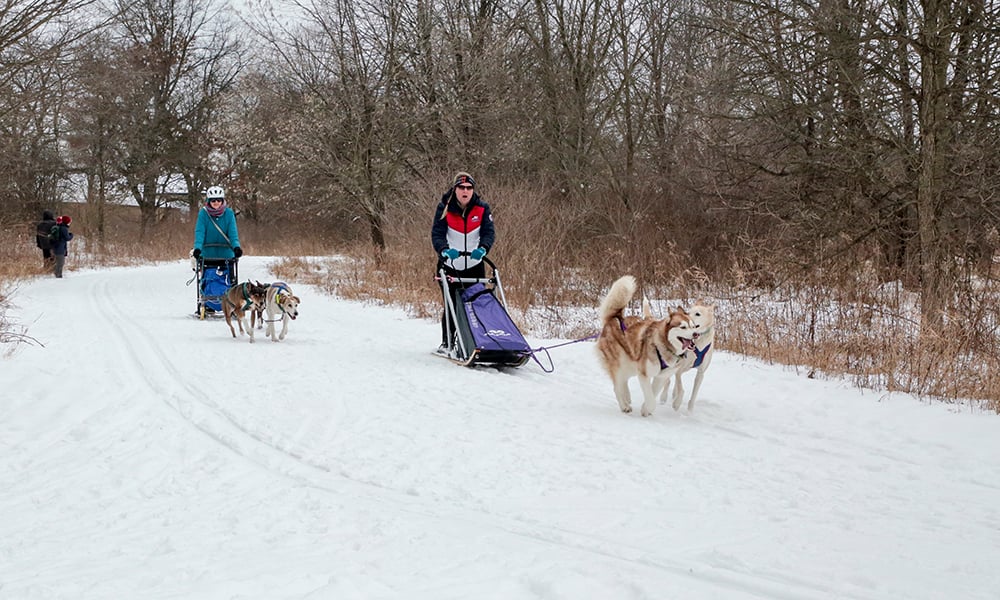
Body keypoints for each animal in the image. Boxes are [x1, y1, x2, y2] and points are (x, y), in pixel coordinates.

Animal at [596, 276, 700, 418]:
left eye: (693, 326)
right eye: (683, 327)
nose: (696, 334)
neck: (664, 346)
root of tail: (614, 318)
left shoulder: (661, 377)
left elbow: (653, 392)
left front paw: (645, 409)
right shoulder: (643, 374)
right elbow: (651, 399)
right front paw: (647, 409)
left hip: (631, 365)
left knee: (623, 382)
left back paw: (627, 397)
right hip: (619, 363)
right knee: (617, 386)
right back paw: (624, 406)